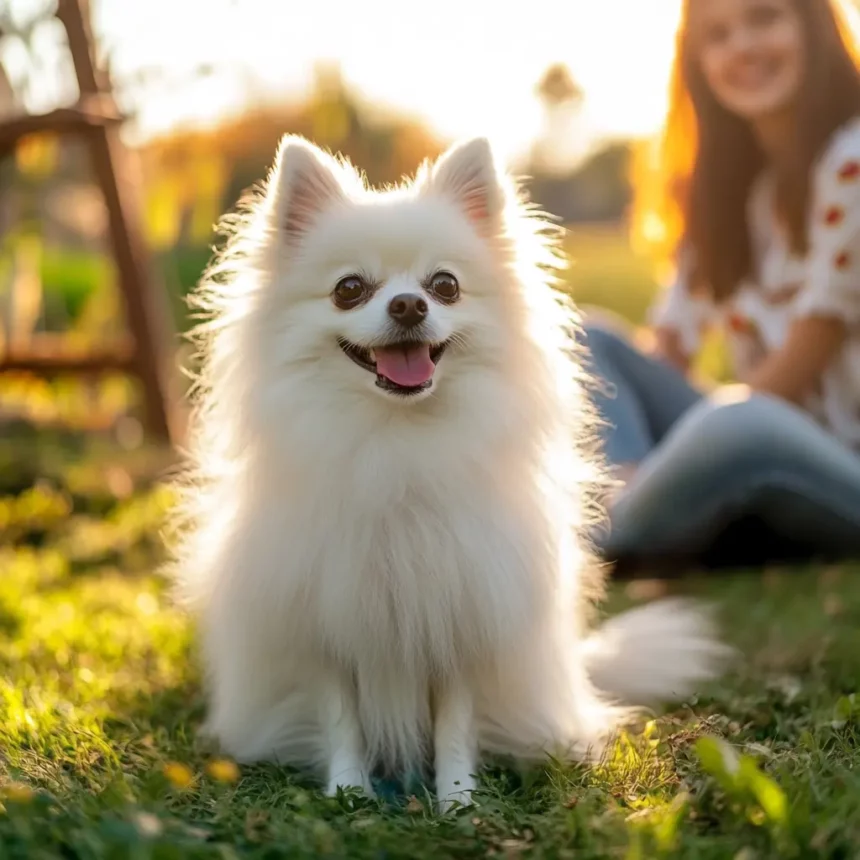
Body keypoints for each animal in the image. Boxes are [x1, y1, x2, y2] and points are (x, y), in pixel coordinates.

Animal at [170, 133, 732, 808]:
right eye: (349, 289)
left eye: (445, 286)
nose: (409, 304)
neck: (397, 443)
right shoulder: (324, 624)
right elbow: (340, 720)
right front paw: (350, 792)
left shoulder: (462, 614)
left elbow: (455, 725)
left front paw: (459, 800)